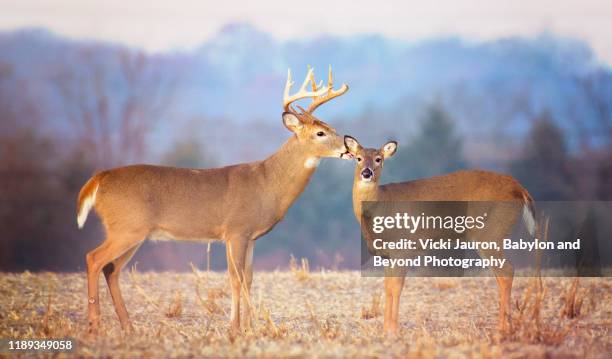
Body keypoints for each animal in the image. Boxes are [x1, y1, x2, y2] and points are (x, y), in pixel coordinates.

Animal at [78, 67, 352, 334]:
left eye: (332, 127)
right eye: (320, 132)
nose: (348, 148)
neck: (267, 183)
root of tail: (99, 179)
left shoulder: (250, 237)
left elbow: (248, 278)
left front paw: (249, 326)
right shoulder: (235, 231)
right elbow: (235, 279)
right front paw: (236, 327)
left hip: (132, 232)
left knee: (111, 269)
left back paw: (128, 326)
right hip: (126, 227)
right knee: (94, 258)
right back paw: (94, 325)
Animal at [344, 136, 536, 334]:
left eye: (378, 159)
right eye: (358, 158)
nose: (366, 173)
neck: (382, 205)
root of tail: (520, 189)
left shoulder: (403, 248)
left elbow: (396, 287)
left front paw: (393, 330)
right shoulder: (387, 256)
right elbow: (387, 287)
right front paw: (385, 329)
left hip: (490, 232)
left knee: (506, 270)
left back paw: (503, 328)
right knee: (501, 273)